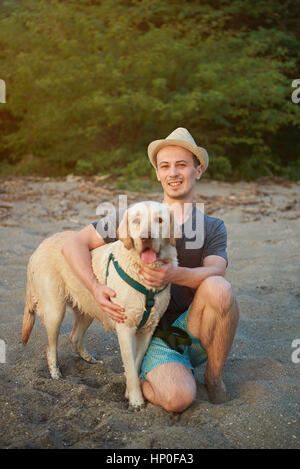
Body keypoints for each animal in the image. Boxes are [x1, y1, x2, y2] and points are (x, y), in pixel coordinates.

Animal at [22, 201, 178, 406]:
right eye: (136, 221)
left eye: (159, 220)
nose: (146, 237)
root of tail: (40, 245)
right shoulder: (125, 328)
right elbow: (130, 367)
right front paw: (136, 400)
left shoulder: (147, 329)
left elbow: (135, 365)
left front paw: (129, 393)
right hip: (55, 310)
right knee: (51, 347)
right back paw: (55, 374)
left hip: (89, 306)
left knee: (74, 336)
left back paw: (90, 359)